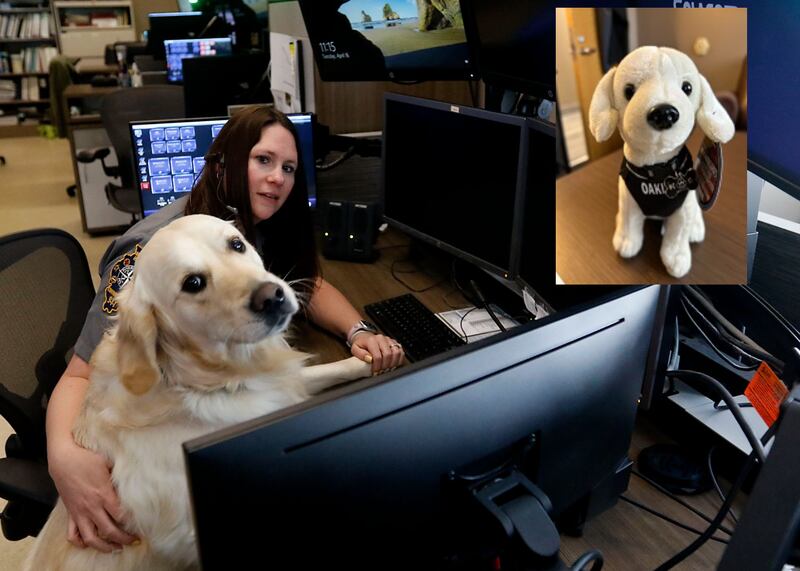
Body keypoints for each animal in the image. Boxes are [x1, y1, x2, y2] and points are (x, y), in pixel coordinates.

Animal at [25, 214, 372, 571]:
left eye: (237, 244)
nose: (271, 296)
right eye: (193, 283)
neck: (209, 381)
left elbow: (328, 371)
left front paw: (371, 358)